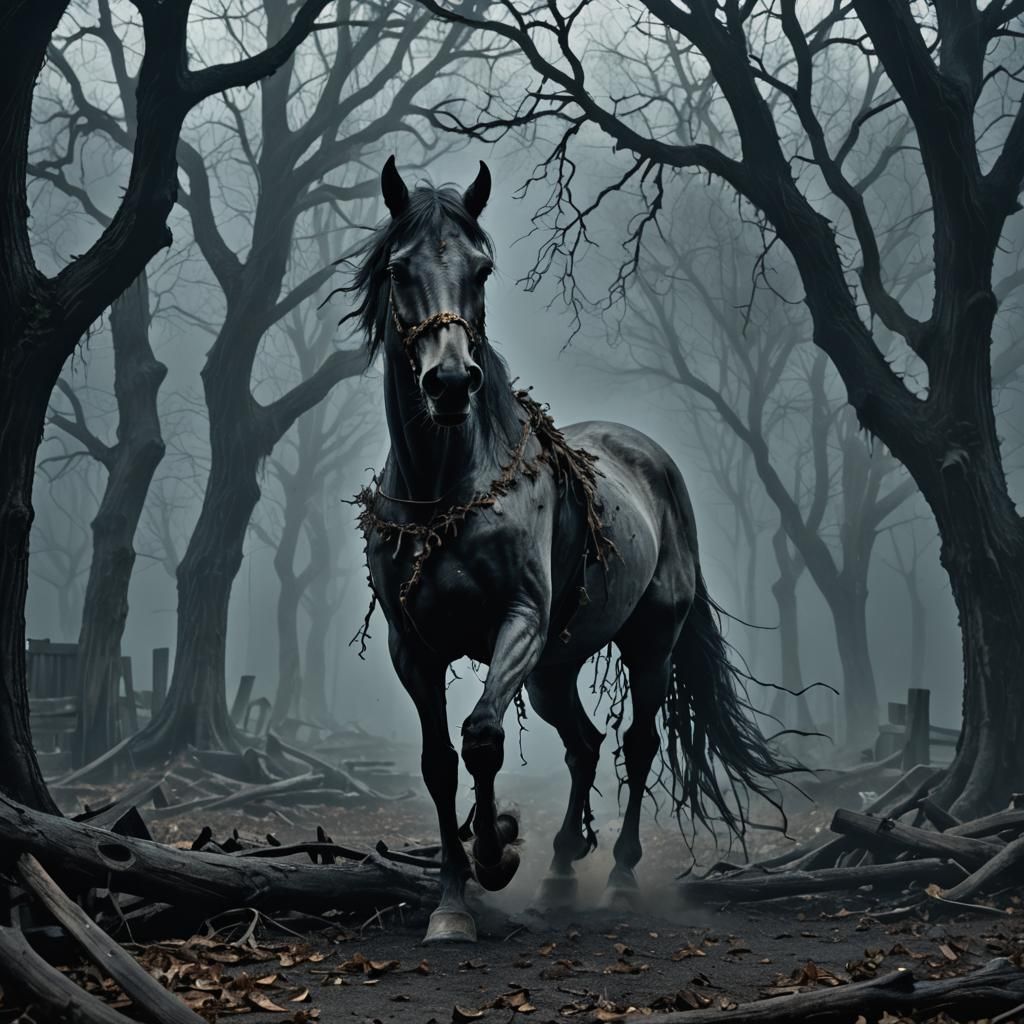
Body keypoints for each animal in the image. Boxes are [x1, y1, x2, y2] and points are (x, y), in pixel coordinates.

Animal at [347, 157, 798, 944]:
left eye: (482, 269)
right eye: (400, 269)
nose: (451, 382)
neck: (447, 494)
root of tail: (651, 459)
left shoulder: (519, 622)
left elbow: (483, 737)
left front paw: (495, 848)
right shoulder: (415, 648)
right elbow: (439, 763)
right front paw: (453, 901)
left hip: (645, 643)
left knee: (637, 744)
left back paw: (617, 878)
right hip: (554, 669)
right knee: (583, 744)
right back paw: (559, 871)